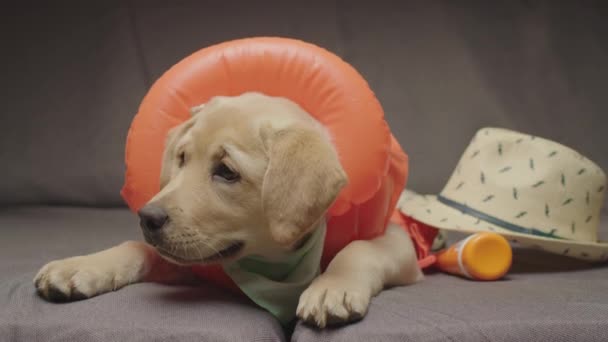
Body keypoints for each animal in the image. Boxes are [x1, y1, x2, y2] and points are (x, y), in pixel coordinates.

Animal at [34, 92, 422, 328]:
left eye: (226, 172)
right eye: (181, 158)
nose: (147, 218)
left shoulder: (399, 245)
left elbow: (358, 249)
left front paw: (333, 287)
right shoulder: (189, 260)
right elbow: (136, 247)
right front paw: (80, 266)